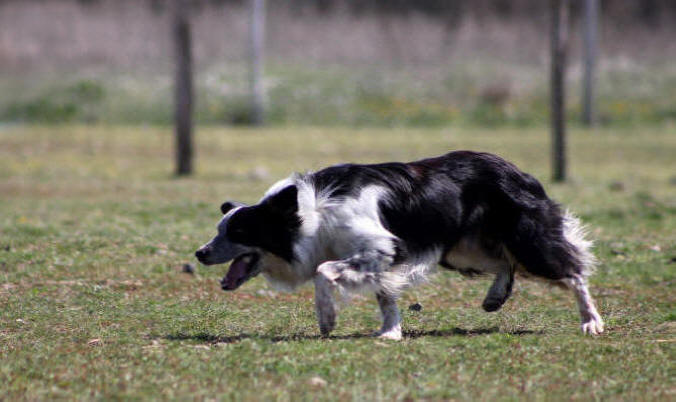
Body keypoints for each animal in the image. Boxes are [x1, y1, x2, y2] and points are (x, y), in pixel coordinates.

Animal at [193, 151, 604, 340]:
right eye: (219, 229)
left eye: (239, 232)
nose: (199, 253)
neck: (311, 215)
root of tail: (520, 172)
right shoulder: (381, 260)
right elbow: (385, 296)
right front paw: (390, 332)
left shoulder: (384, 249)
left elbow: (324, 272)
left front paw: (327, 319)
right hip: (462, 250)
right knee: (506, 263)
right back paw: (495, 297)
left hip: (525, 240)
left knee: (573, 272)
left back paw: (591, 322)